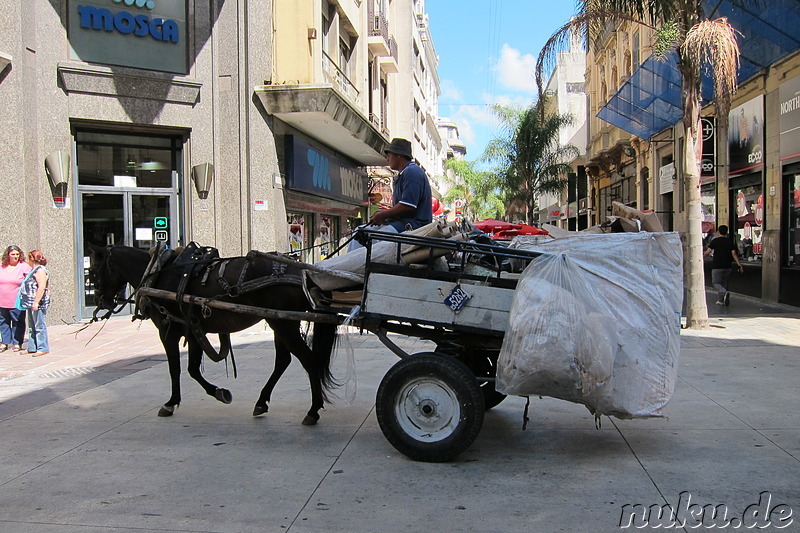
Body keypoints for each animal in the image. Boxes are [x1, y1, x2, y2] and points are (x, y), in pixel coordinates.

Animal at [87, 244, 338, 424]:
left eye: (93, 271)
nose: (100, 301)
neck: (157, 272)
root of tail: (302, 272)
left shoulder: (168, 331)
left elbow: (176, 369)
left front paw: (172, 402)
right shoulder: (194, 328)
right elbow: (192, 368)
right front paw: (218, 392)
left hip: (283, 323)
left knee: (309, 360)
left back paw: (313, 410)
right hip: (280, 321)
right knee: (283, 361)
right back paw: (262, 402)